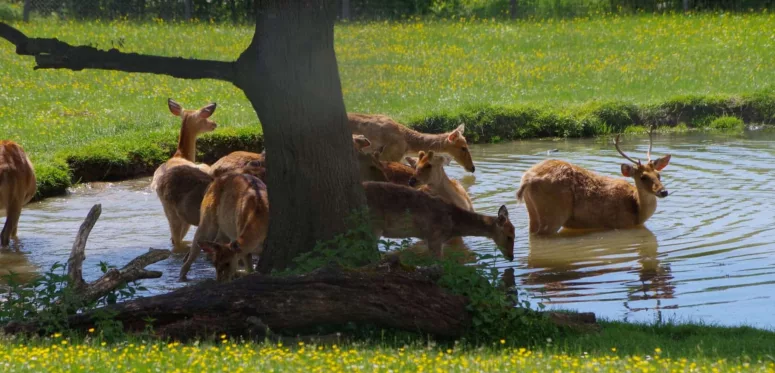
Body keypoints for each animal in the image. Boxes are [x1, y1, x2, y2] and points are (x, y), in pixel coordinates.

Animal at [516, 129, 672, 234]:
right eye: (643, 177)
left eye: (658, 174)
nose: (663, 191)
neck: (637, 211)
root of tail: (527, 179)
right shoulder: (620, 223)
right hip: (553, 213)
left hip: (533, 212)